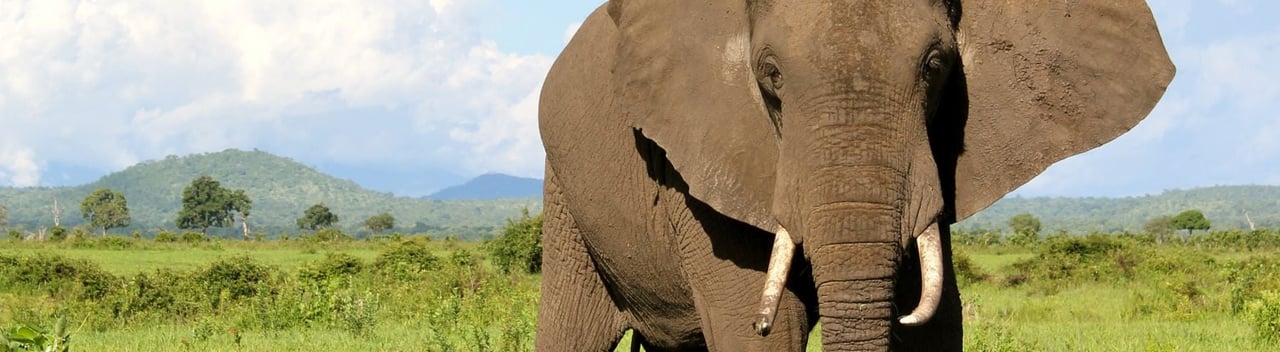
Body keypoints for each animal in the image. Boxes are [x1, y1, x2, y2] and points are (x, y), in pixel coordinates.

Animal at [535, 1, 1172, 350]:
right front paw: (764, 322)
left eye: (936, 65)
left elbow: (935, 325)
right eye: (770, 75)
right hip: (565, 198)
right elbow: (764, 329)